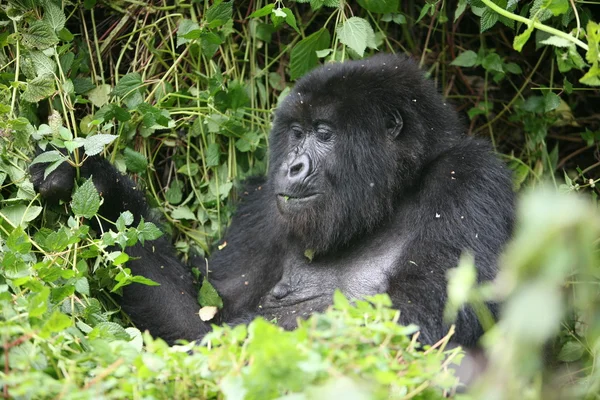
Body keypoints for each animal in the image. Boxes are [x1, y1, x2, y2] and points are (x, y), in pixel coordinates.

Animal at [30, 53, 512, 346]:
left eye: (324, 134)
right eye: (296, 133)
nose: (292, 166)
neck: (393, 197)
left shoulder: (470, 179)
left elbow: (424, 315)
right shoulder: (262, 204)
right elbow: (200, 315)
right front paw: (90, 180)